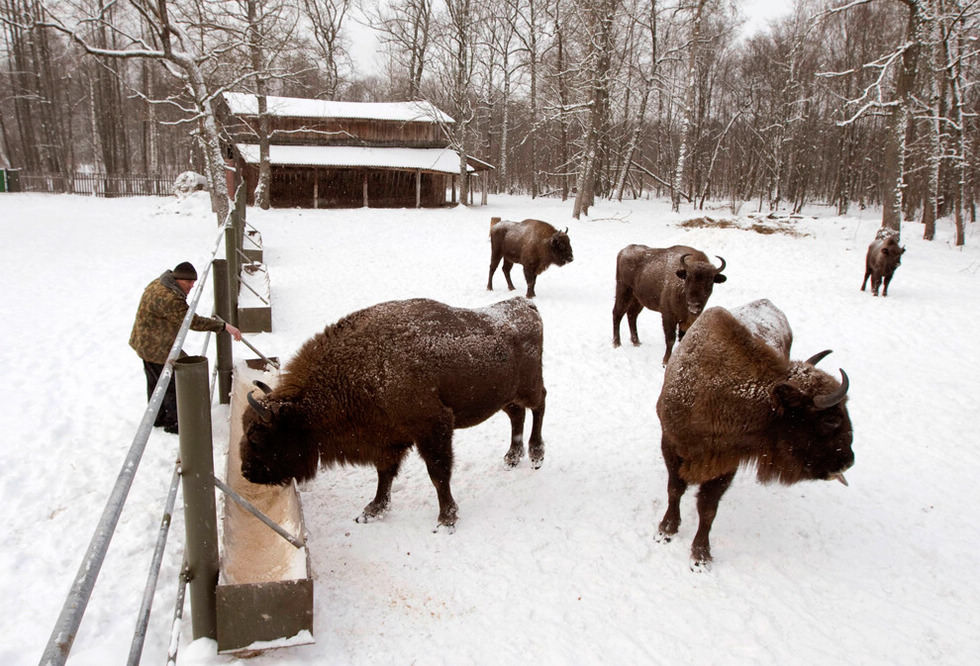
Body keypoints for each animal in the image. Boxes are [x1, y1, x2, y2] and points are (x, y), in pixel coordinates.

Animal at [240, 294, 548, 528]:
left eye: (257, 438)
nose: (246, 471)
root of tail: (525, 305)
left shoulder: (433, 428)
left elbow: (438, 474)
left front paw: (446, 518)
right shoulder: (387, 439)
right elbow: (384, 474)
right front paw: (372, 510)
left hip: (529, 387)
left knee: (540, 405)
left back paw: (536, 455)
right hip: (505, 397)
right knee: (517, 415)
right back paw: (512, 457)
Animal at [656, 300, 852, 572]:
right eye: (831, 419)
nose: (848, 460)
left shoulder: (727, 464)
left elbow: (708, 508)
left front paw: (700, 556)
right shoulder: (671, 444)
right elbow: (675, 490)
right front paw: (666, 531)